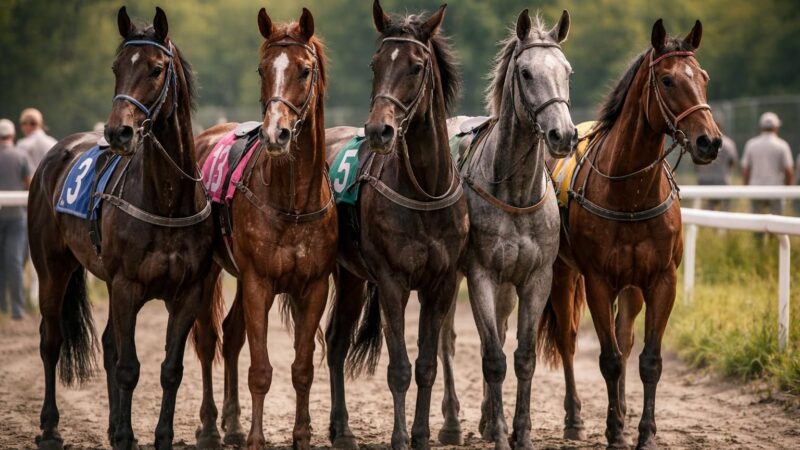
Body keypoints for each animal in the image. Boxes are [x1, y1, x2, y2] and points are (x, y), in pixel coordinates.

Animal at [28, 7, 215, 450]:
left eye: (156, 68)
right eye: (116, 67)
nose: (118, 131)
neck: (166, 198)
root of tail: (53, 155)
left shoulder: (188, 293)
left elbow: (170, 369)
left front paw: (159, 437)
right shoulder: (127, 285)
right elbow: (128, 366)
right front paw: (129, 434)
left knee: (108, 342)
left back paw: (112, 428)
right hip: (52, 269)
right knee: (51, 340)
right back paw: (51, 428)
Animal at [192, 8, 336, 450]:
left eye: (304, 70)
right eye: (262, 69)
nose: (276, 133)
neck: (293, 203)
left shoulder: (315, 286)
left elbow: (302, 368)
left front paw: (302, 434)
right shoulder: (258, 282)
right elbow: (260, 370)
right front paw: (257, 437)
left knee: (231, 334)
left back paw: (233, 424)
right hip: (209, 271)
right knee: (209, 340)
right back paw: (210, 426)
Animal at [323, 1, 468, 449]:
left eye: (416, 67)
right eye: (376, 64)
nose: (378, 130)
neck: (424, 192)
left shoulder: (442, 283)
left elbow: (426, 364)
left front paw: (421, 435)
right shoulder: (392, 281)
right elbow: (400, 368)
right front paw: (401, 437)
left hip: (351, 276)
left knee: (336, 342)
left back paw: (341, 429)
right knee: (334, 343)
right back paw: (342, 428)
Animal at [437, 10, 576, 450]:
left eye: (567, 70)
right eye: (526, 72)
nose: (563, 135)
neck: (513, 194)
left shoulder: (535, 278)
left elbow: (523, 356)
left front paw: (521, 432)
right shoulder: (480, 274)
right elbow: (493, 357)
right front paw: (499, 433)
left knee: (495, 328)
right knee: (448, 341)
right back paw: (451, 422)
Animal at [537, 19, 722, 449]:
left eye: (703, 77)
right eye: (668, 80)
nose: (710, 141)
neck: (630, 195)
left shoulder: (661, 279)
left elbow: (647, 360)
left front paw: (645, 432)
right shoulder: (598, 280)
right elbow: (608, 360)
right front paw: (613, 431)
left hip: (632, 285)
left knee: (625, 338)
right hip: (562, 272)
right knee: (569, 339)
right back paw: (575, 419)